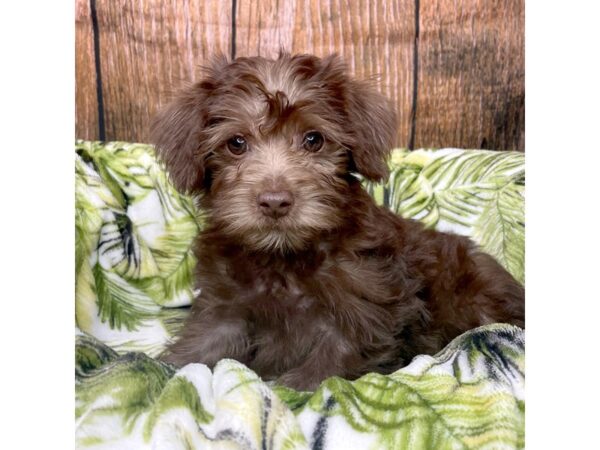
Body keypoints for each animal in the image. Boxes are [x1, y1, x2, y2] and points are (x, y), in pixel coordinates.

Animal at [151, 52, 524, 390]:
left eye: (314, 140)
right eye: (236, 143)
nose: (275, 202)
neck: (283, 258)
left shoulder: (366, 308)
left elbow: (337, 356)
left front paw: (297, 385)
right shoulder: (224, 307)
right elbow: (202, 344)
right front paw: (166, 367)